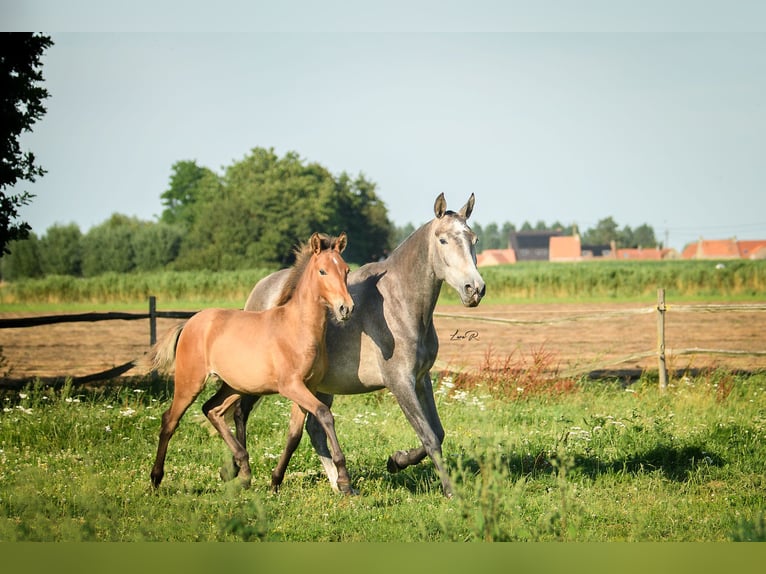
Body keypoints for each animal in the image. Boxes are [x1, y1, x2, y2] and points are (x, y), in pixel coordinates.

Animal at [240, 195, 486, 500]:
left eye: (473, 239)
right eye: (442, 240)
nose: (474, 289)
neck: (399, 304)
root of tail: (262, 289)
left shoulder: (421, 379)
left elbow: (437, 432)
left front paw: (396, 460)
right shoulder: (399, 382)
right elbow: (429, 436)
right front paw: (450, 491)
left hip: (319, 386)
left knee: (313, 429)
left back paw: (340, 484)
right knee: (238, 413)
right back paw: (241, 473)